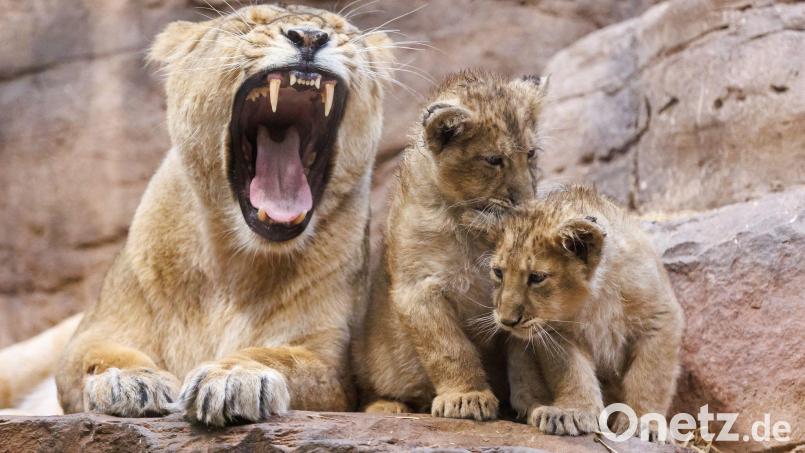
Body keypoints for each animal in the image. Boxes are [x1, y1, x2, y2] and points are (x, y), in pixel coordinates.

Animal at [0, 4, 394, 425]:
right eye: (249, 23)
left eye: (342, 31)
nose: (308, 36)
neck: (235, 264)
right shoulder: (94, 331)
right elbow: (99, 355)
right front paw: (130, 381)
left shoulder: (332, 363)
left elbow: (279, 357)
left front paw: (235, 377)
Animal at [352, 70, 548, 421]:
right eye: (494, 160)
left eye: (531, 154)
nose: (526, 204)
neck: (477, 231)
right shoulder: (419, 288)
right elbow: (449, 348)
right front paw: (467, 397)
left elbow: (525, 358)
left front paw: (535, 403)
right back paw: (387, 406)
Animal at [490, 186, 684, 440]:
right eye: (498, 272)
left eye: (537, 277)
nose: (507, 321)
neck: (595, 296)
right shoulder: (556, 331)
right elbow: (572, 373)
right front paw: (573, 412)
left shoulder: (659, 317)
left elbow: (650, 376)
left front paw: (643, 422)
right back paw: (539, 410)